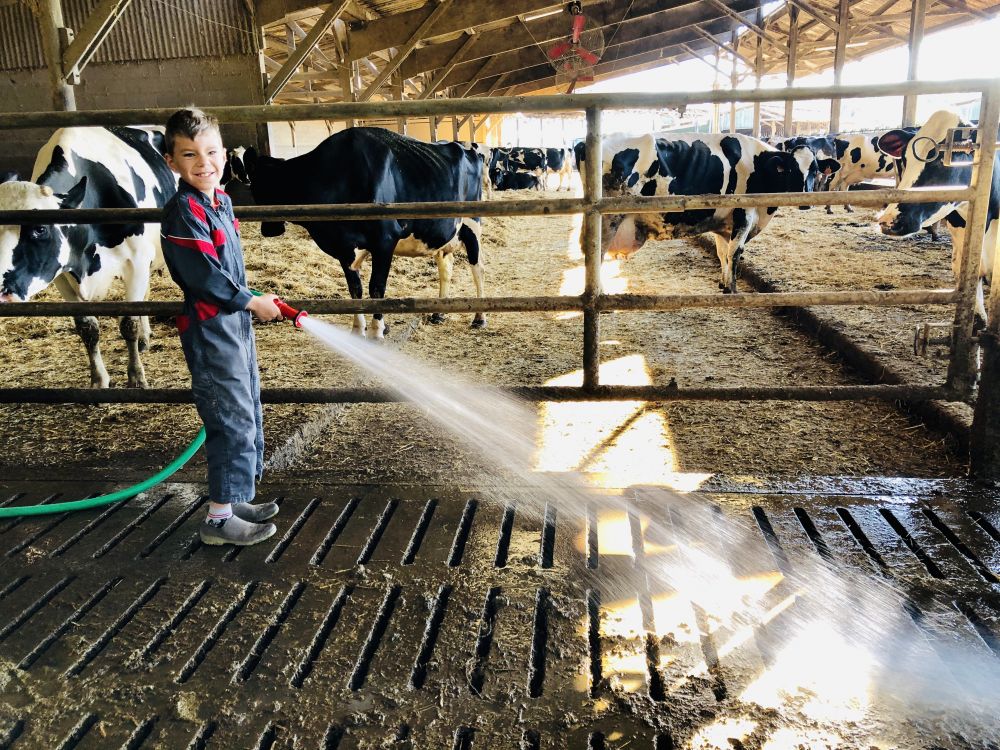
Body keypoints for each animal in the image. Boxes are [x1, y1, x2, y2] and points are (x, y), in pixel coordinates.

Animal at [0, 127, 178, 388]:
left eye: (40, 229)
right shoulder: (62, 277)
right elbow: (87, 328)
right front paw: (99, 379)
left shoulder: (136, 261)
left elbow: (129, 323)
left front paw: (136, 377)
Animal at [246, 128, 488, 336]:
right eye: (255, 186)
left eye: (266, 187)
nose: (268, 230)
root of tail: (464, 146)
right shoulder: (343, 246)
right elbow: (355, 289)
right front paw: (357, 329)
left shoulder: (385, 240)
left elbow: (377, 288)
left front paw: (376, 331)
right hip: (444, 233)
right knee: (446, 268)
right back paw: (439, 313)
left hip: (472, 224)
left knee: (477, 268)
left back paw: (479, 317)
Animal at [592, 132, 820, 290]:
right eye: (791, 170)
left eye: (815, 170)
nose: (806, 200)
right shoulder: (744, 213)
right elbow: (735, 252)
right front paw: (731, 290)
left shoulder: (724, 222)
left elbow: (722, 253)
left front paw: (722, 283)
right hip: (608, 220)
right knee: (596, 256)